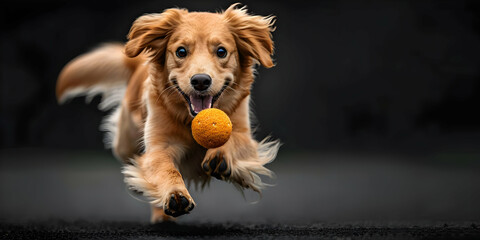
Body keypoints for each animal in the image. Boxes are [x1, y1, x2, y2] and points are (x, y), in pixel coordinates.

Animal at [56, 3, 280, 222]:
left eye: (221, 51)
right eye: (181, 51)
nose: (200, 81)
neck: (190, 120)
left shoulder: (244, 134)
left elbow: (235, 140)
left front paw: (220, 154)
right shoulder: (159, 147)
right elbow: (166, 169)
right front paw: (175, 194)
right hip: (125, 140)